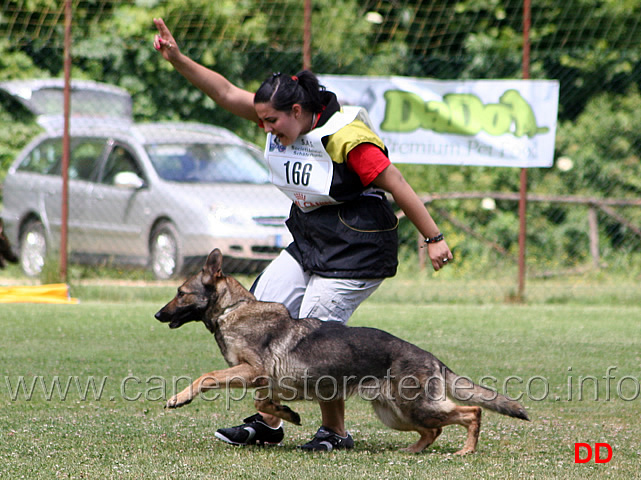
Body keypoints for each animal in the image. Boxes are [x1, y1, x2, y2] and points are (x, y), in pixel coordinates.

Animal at [154, 249, 524, 456]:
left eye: (181, 292)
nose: (157, 314)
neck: (234, 310)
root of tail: (433, 358)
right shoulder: (263, 381)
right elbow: (264, 403)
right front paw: (287, 415)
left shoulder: (252, 371)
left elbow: (207, 376)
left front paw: (179, 397)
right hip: (395, 414)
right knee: (434, 430)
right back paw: (414, 450)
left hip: (415, 408)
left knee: (472, 412)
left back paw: (466, 450)